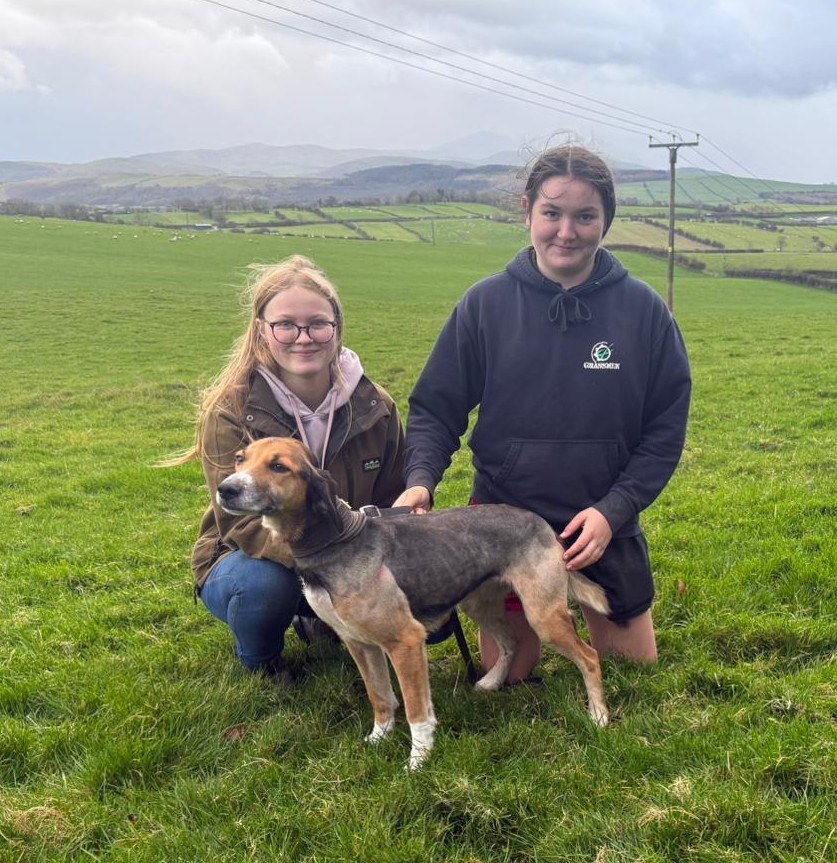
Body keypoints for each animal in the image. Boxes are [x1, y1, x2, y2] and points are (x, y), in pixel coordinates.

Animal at [216, 437, 610, 769]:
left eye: (278, 466)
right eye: (240, 458)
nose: (225, 489)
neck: (335, 542)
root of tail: (542, 522)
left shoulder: (405, 642)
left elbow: (416, 710)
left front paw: (418, 761)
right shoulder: (360, 644)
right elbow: (380, 698)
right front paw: (379, 738)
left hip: (544, 616)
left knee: (590, 657)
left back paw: (600, 716)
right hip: (478, 605)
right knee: (510, 642)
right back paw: (492, 683)